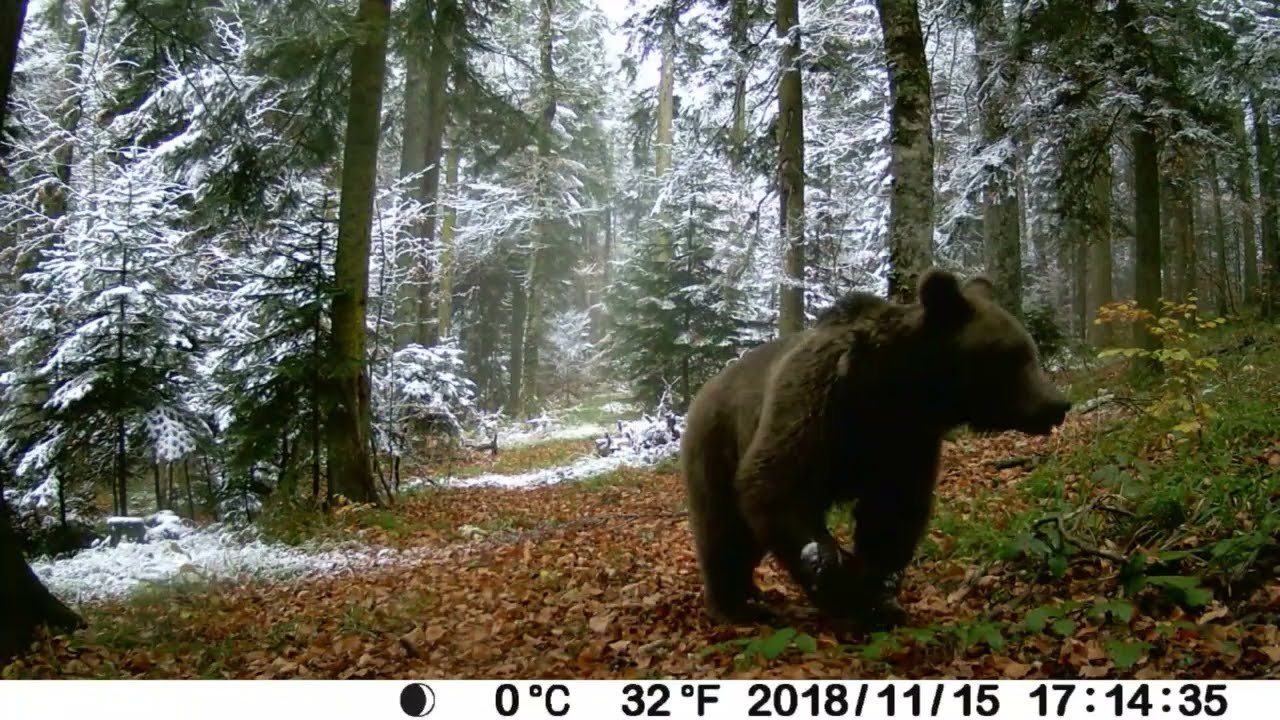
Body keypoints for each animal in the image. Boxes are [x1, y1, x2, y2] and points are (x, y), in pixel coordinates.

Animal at [679, 269, 1071, 628]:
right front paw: (845, 588)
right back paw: (735, 604)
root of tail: (704, 390)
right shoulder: (817, 406)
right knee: (723, 529)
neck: (889, 392)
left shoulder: (904, 440)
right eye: (1016, 357)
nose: (1057, 404)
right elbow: (776, 487)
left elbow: (892, 511)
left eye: (1030, 351)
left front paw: (879, 596)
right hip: (717, 443)